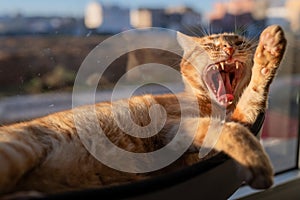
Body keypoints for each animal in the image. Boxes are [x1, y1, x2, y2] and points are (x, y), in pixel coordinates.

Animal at [0, 24, 288, 195]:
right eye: (210, 45)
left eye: (238, 43)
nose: (228, 48)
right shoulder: (175, 128)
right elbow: (233, 130)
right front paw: (255, 161)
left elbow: (251, 101)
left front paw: (270, 52)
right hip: (19, 149)